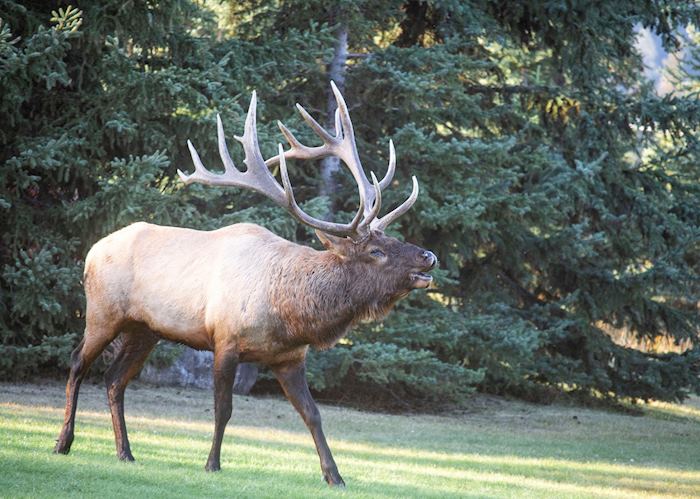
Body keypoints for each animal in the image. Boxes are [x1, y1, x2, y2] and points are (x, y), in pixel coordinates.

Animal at [53, 83, 437, 487]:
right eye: (377, 250)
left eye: (392, 238)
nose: (429, 256)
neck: (291, 314)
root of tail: (92, 251)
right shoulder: (225, 341)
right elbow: (223, 409)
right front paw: (212, 463)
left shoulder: (290, 358)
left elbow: (313, 414)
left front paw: (335, 476)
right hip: (103, 313)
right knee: (77, 363)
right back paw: (64, 442)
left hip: (145, 330)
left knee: (114, 379)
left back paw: (125, 452)